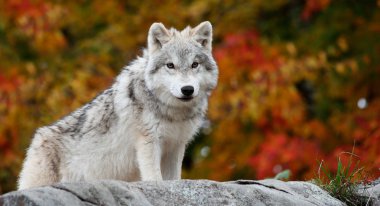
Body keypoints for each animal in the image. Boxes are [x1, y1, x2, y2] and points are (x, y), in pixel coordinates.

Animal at [17, 21, 218, 190]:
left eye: (194, 64)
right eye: (170, 65)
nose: (187, 89)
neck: (173, 112)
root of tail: (38, 137)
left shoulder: (176, 146)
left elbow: (174, 179)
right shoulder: (148, 142)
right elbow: (154, 178)